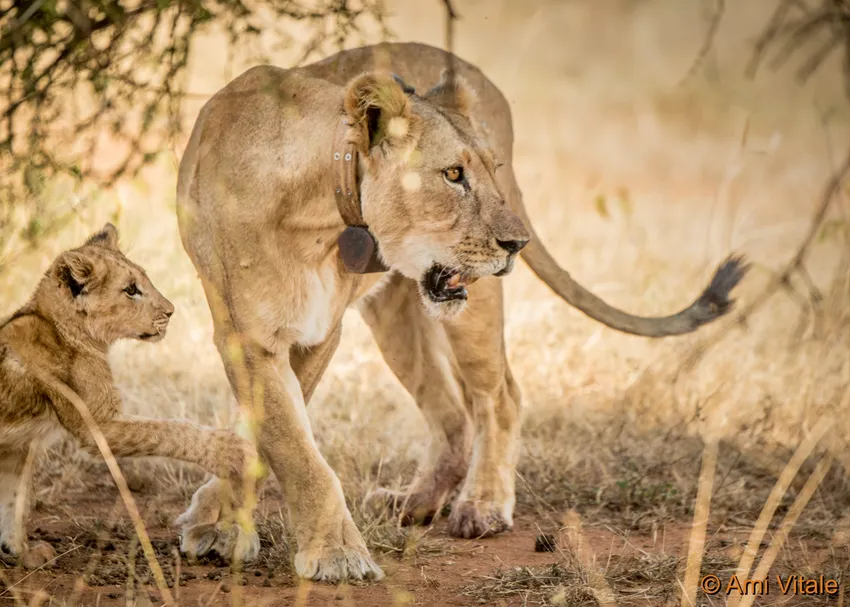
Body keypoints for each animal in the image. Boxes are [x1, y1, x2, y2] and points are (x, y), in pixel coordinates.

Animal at [0, 223, 258, 569]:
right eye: (131, 290)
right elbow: (167, 430)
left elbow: (14, 500)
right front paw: (231, 451)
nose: (170, 311)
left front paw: (22, 553)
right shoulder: (97, 424)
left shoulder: (19, 448)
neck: (60, 326)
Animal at [175, 42, 747, 582]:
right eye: (453, 174)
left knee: (501, 396)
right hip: (398, 311)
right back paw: (414, 503)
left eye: (492, 171)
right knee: (451, 413)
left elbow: (279, 444)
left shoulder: (319, 334)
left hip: (471, 307)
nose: (518, 243)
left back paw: (483, 506)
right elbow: (280, 441)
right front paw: (232, 527)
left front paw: (324, 553)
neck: (317, 213)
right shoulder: (250, 336)